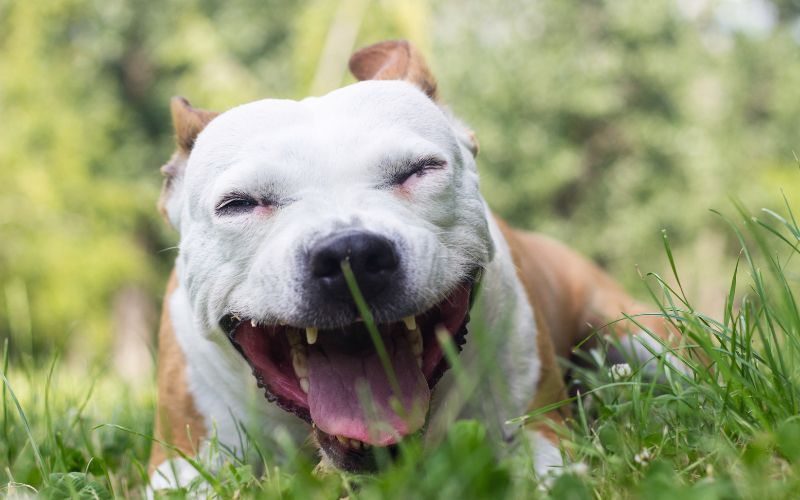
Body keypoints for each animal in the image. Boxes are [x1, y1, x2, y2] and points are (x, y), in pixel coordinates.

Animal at [147, 41, 680, 490]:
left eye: (420, 170)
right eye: (239, 204)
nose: (350, 254)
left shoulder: (538, 428)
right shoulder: (180, 460)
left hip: (640, 337)